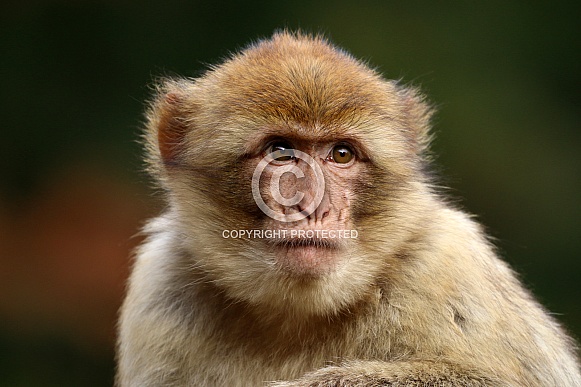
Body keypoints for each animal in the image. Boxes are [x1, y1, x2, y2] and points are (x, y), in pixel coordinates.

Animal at [114, 31, 580, 387]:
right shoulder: (161, 286)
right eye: (279, 151)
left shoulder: (446, 262)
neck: (294, 314)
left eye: (341, 154)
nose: (312, 206)